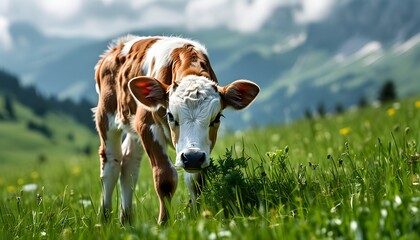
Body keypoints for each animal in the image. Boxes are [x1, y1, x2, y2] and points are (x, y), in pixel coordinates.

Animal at [93, 34, 260, 224]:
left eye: (217, 118)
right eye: (170, 116)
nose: (192, 157)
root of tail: (115, 49)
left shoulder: (202, 151)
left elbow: (196, 180)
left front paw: (197, 218)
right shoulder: (146, 125)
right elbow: (165, 178)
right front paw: (164, 223)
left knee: (129, 164)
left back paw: (126, 222)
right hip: (106, 115)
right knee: (111, 165)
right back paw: (104, 221)